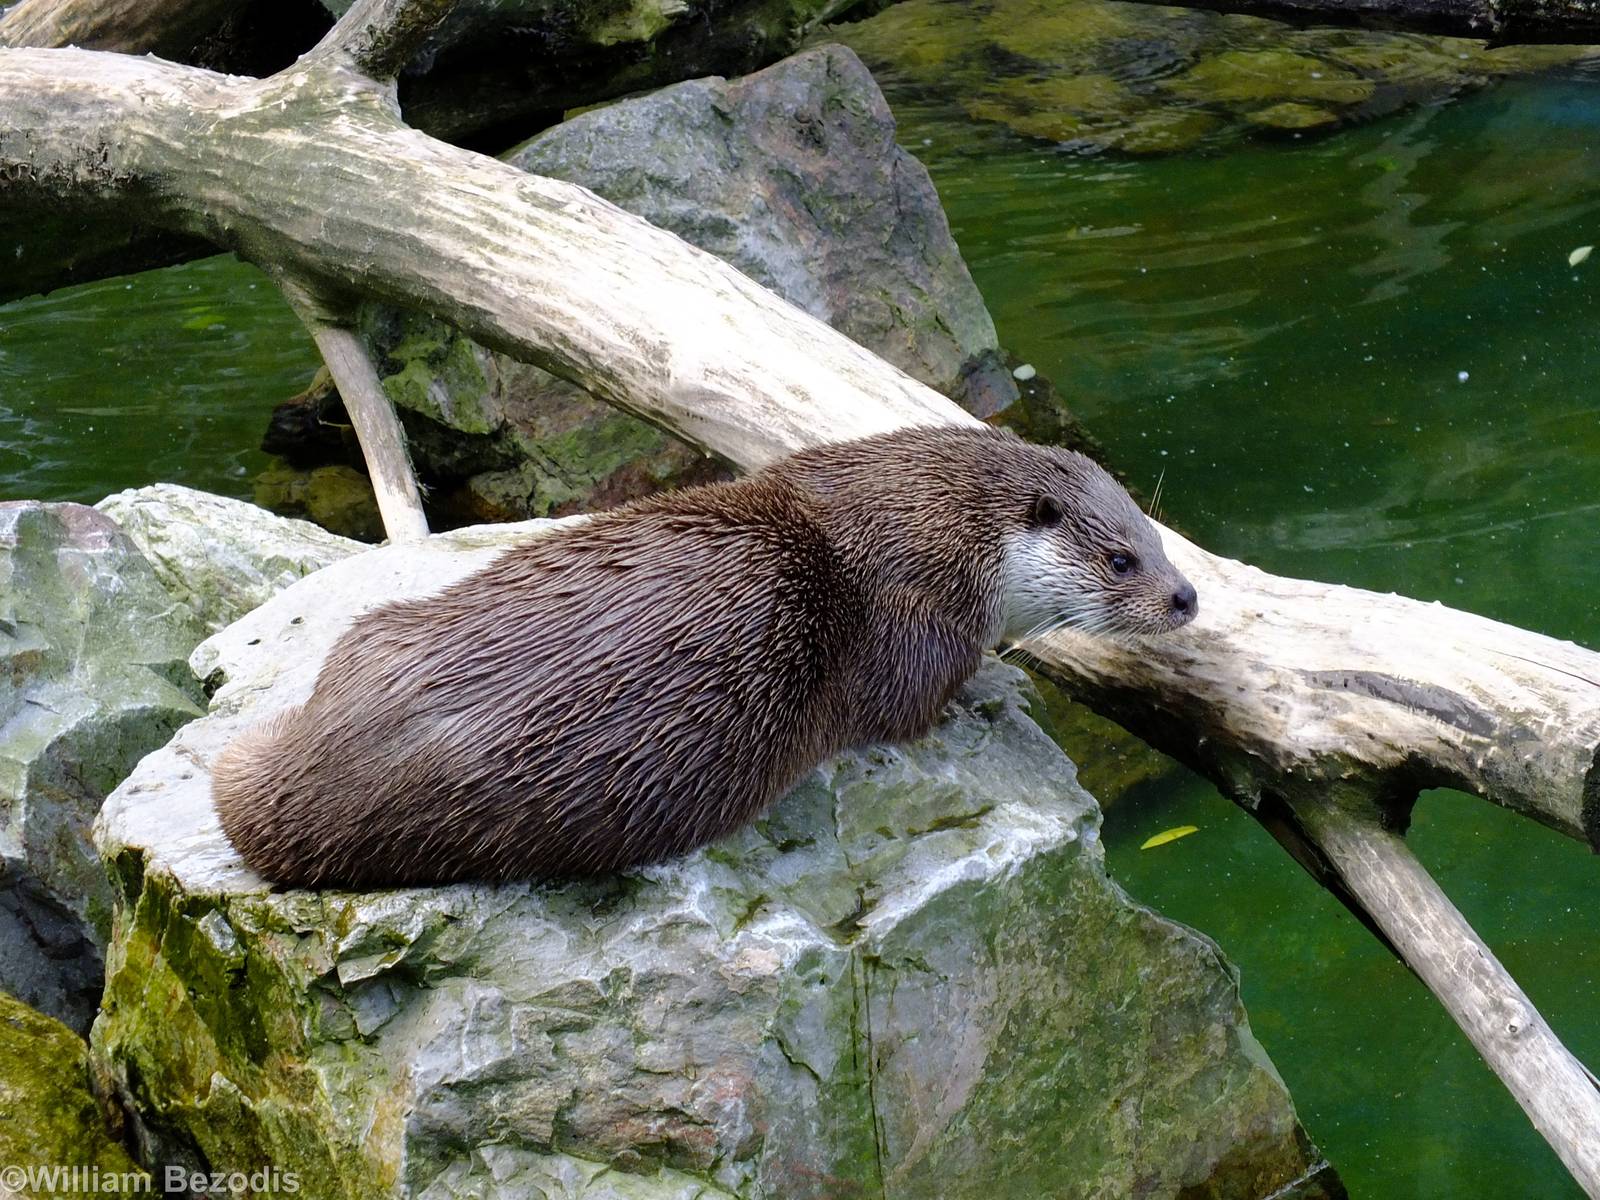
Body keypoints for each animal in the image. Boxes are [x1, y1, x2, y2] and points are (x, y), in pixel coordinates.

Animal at [213, 426, 1196, 887]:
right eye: (1123, 559)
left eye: (1161, 535)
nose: (1188, 596)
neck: (932, 527)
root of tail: (317, 765)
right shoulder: (923, 622)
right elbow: (921, 703)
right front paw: (996, 687)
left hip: (376, 632)